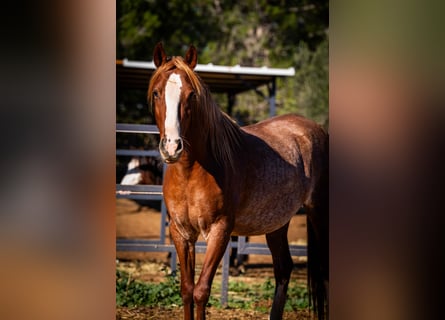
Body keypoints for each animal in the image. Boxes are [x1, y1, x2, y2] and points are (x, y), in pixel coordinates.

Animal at [147, 43, 328, 320]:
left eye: (191, 95)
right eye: (157, 93)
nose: (172, 147)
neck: (192, 173)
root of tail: (316, 129)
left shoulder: (220, 231)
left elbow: (201, 291)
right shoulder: (181, 232)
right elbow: (187, 290)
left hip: (318, 212)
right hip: (277, 223)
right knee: (283, 269)